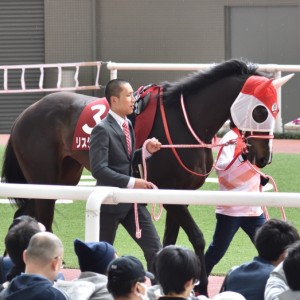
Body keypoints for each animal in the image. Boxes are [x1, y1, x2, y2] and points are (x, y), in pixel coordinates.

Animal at [1, 59, 288, 296]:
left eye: (275, 111)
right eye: (260, 112)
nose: (264, 157)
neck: (185, 123)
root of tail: (25, 114)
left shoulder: (179, 195)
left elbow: (169, 241)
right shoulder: (169, 191)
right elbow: (197, 237)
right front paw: (203, 286)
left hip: (64, 178)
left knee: (24, 216)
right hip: (44, 179)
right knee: (42, 222)